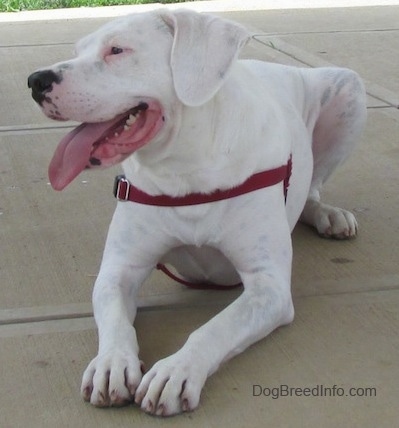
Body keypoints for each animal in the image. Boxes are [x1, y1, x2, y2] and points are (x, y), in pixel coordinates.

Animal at [27, 9, 366, 414]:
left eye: (117, 50)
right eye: (77, 51)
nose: (35, 80)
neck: (184, 166)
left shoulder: (267, 288)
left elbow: (216, 327)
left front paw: (176, 370)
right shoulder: (119, 270)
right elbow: (115, 320)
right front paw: (112, 362)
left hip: (347, 87)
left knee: (314, 186)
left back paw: (327, 214)